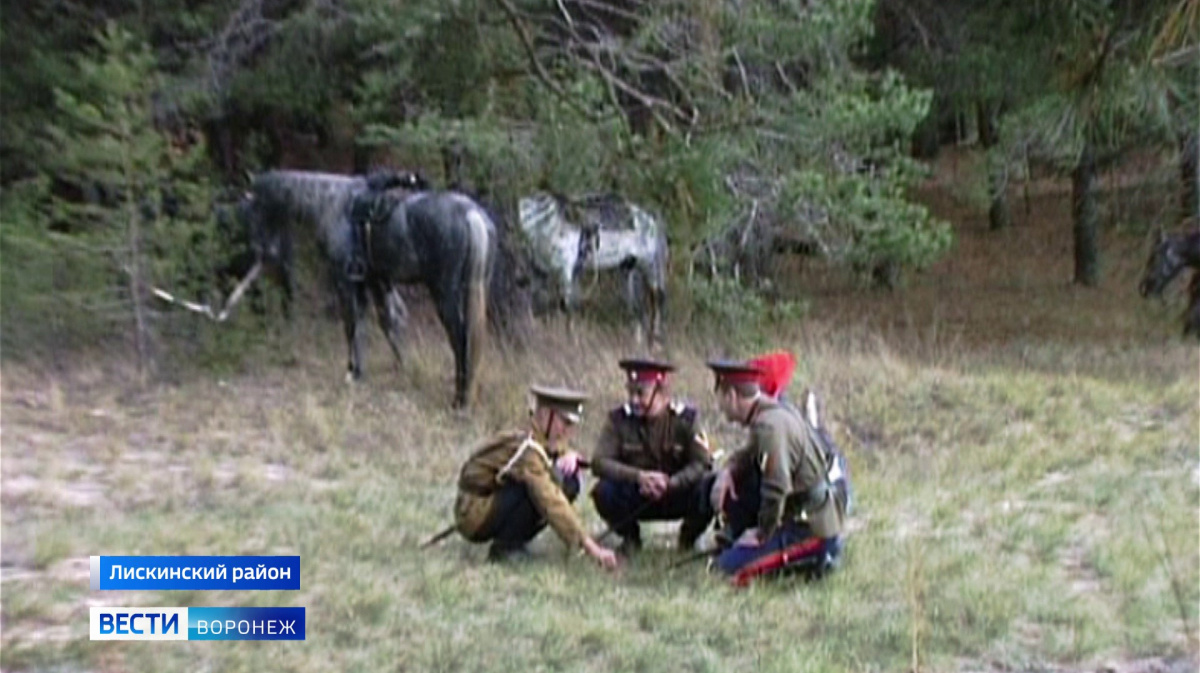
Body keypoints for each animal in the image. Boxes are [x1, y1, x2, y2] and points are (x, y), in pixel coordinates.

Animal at [242, 170, 492, 407]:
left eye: (254, 208)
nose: (260, 249)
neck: (330, 203)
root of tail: (471, 214)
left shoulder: (345, 281)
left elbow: (351, 324)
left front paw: (353, 371)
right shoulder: (373, 281)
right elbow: (385, 322)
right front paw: (395, 366)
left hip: (444, 292)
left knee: (460, 339)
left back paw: (459, 400)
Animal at [513, 191, 672, 343]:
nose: (519, 280)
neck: (546, 223)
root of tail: (652, 221)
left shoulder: (567, 270)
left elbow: (567, 307)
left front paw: (571, 340)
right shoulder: (540, 271)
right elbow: (536, 304)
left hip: (650, 269)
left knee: (656, 302)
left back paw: (655, 341)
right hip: (629, 272)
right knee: (638, 309)